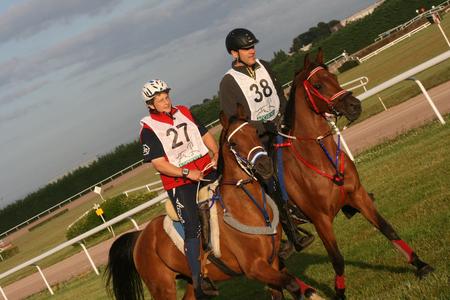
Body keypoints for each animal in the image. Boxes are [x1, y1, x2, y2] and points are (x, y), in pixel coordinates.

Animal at [105, 105, 324, 300]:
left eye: (255, 132)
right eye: (233, 143)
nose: (264, 165)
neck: (247, 207)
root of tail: (141, 236)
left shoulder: (273, 263)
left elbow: (283, 288)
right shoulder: (255, 267)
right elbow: (293, 283)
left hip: (192, 284)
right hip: (162, 288)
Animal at [280, 49, 434, 300]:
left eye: (334, 77)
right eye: (318, 85)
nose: (355, 105)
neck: (319, 156)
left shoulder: (358, 196)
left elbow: (387, 228)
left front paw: (420, 264)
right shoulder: (321, 220)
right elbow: (337, 259)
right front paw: (340, 293)